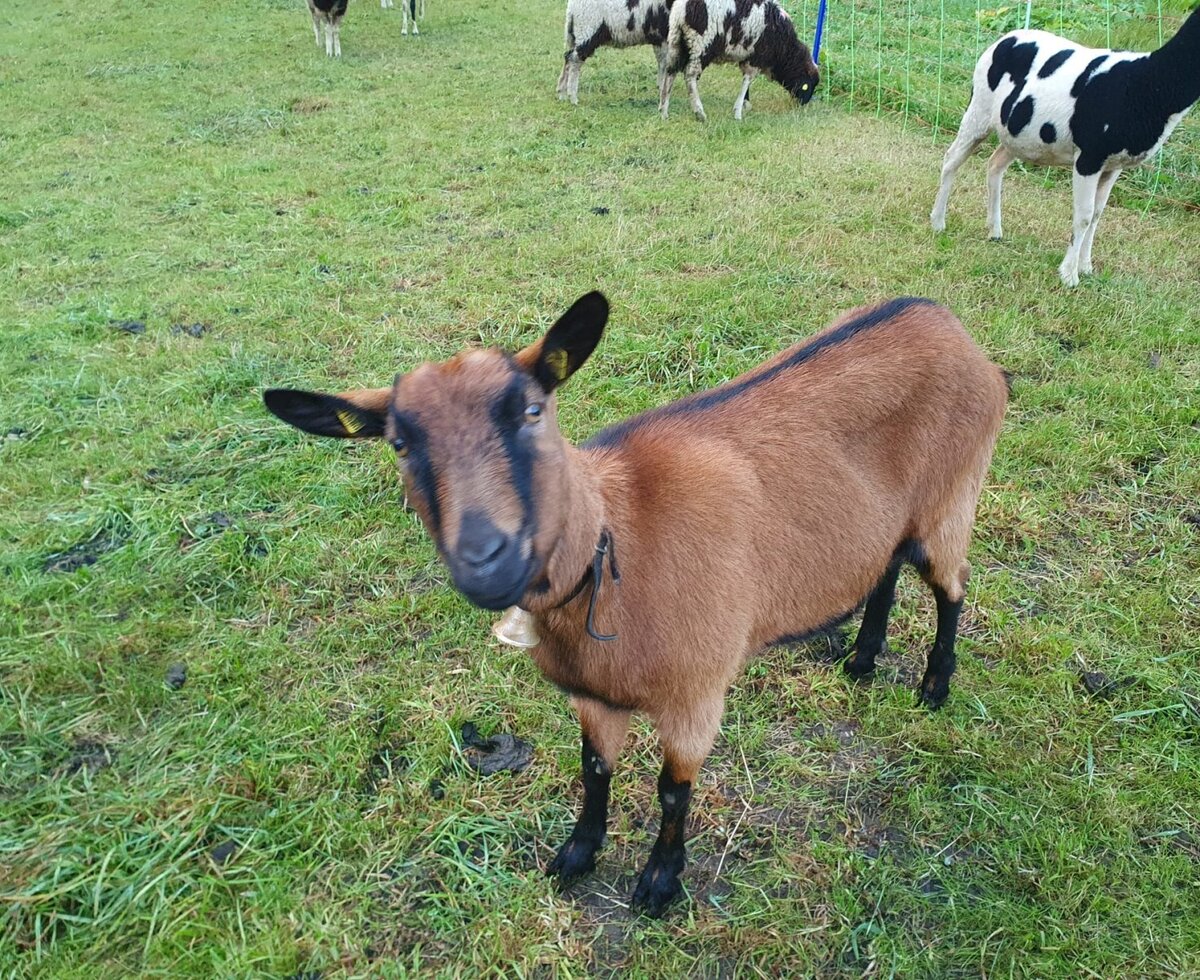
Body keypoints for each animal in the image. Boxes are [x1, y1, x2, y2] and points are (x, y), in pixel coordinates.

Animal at [263, 292, 1008, 916]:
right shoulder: (592, 696)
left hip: (953, 498)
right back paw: (860, 659)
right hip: (890, 520)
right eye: (399, 441)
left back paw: (934, 685)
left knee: (951, 588)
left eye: (531, 410)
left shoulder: (695, 694)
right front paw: (575, 854)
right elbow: (594, 772)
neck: (616, 544)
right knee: (884, 570)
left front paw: (658, 883)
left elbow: (672, 791)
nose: (486, 559)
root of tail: (947, 322)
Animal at [660, 0, 820, 121]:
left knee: (670, 72)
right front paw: (738, 112)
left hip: (676, 39)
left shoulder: (746, 57)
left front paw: (745, 104)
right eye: (809, 86)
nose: (803, 105)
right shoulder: (755, 58)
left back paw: (663, 110)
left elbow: (745, 82)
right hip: (702, 43)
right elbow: (747, 81)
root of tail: (682, 9)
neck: (785, 51)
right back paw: (699, 112)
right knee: (690, 76)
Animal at [931, 8, 1200, 287]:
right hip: (979, 109)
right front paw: (1069, 275)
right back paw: (938, 222)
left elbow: (1097, 214)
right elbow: (1084, 215)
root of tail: (1006, 38)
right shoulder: (1089, 156)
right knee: (952, 159)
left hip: (1017, 134)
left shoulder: (1114, 164)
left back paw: (995, 231)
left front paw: (1086, 267)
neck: (1150, 83)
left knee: (994, 165)